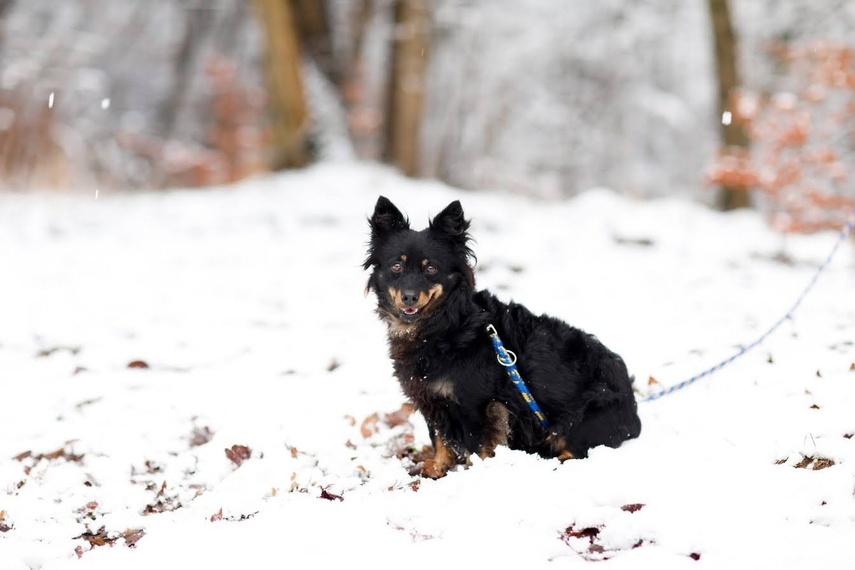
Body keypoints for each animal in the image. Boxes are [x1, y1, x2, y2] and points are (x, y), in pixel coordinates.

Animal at [362, 196, 640, 474]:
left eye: (430, 268)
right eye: (396, 266)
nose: (409, 297)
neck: (445, 327)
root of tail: (634, 414)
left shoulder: (474, 405)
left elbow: (474, 447)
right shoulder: (431, 400)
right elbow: (440, 439)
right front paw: (436, 470)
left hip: (576, 418)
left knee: (575, 451)